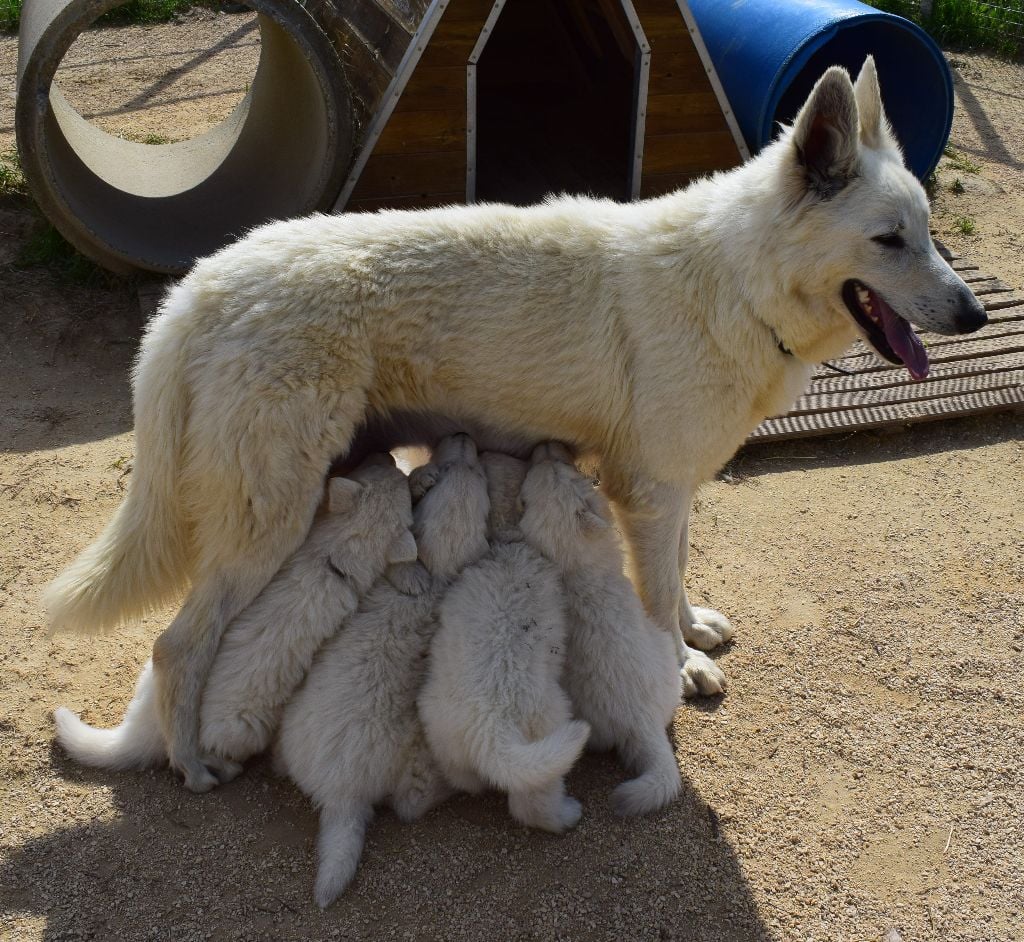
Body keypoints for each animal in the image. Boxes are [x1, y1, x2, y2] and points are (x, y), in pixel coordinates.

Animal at [417, 452, 593, 835]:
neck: (506, 540)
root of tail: (493, 730)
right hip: (548, 727)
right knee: (534, 805)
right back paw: (567, 814)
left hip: (442, 731)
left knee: (466, 778)